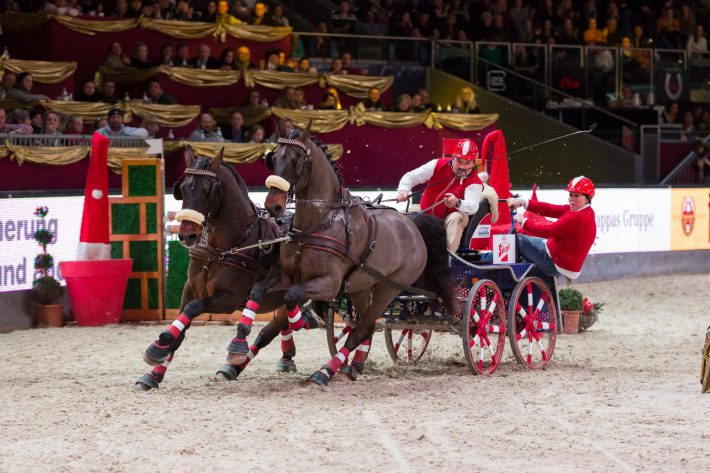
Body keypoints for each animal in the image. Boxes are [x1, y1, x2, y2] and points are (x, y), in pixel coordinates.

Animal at [136, 146, 320, 390]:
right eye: (182, 188)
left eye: (208, 190)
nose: (186, 235)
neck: (220, 249)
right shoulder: (190, 288)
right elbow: (181, 330)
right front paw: (154, 372)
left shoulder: (229, 298)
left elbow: (193, 308)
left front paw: (160, 345)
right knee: (271, 330)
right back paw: (243, 365)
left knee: (269, 331)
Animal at [228, 125, 456, 384]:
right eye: (274, 159)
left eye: (296, 160)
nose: (273, 206)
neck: (319, 224)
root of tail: (412, 222)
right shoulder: (287, 275)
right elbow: (260, 291)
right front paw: (237, 347)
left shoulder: (329, 284)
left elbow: (292, 296)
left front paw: (302, 320)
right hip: (360, 286)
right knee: (365, 327)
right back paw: (353, 366)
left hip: (388, 289)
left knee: (362, 328)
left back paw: (325, 371)